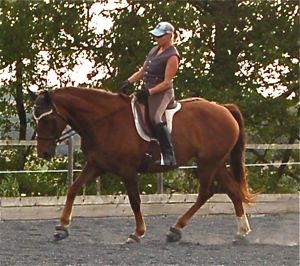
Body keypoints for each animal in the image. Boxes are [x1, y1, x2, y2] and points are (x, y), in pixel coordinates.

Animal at [32, 87, 253, 243]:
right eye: (36, 118)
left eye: (48, 119)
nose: (43, 153)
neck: (104, 121)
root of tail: (224, 108)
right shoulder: (96, 165)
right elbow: (73, 189)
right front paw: (62, 228)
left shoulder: (128, 170)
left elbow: (134, 200)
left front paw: (137, 233)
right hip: (216, 163)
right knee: (232, 191)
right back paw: (241, 233)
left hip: (208, 163)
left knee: (206, 192)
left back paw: (176, 229)